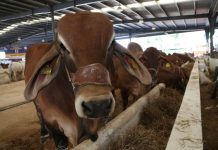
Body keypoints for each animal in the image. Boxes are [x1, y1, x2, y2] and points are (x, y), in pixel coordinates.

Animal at [23, 12, 151, 149]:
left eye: (111, 43)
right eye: (62, 46)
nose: (98, 105)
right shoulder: (54, 125)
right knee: (38, 113)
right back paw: (43, 134)